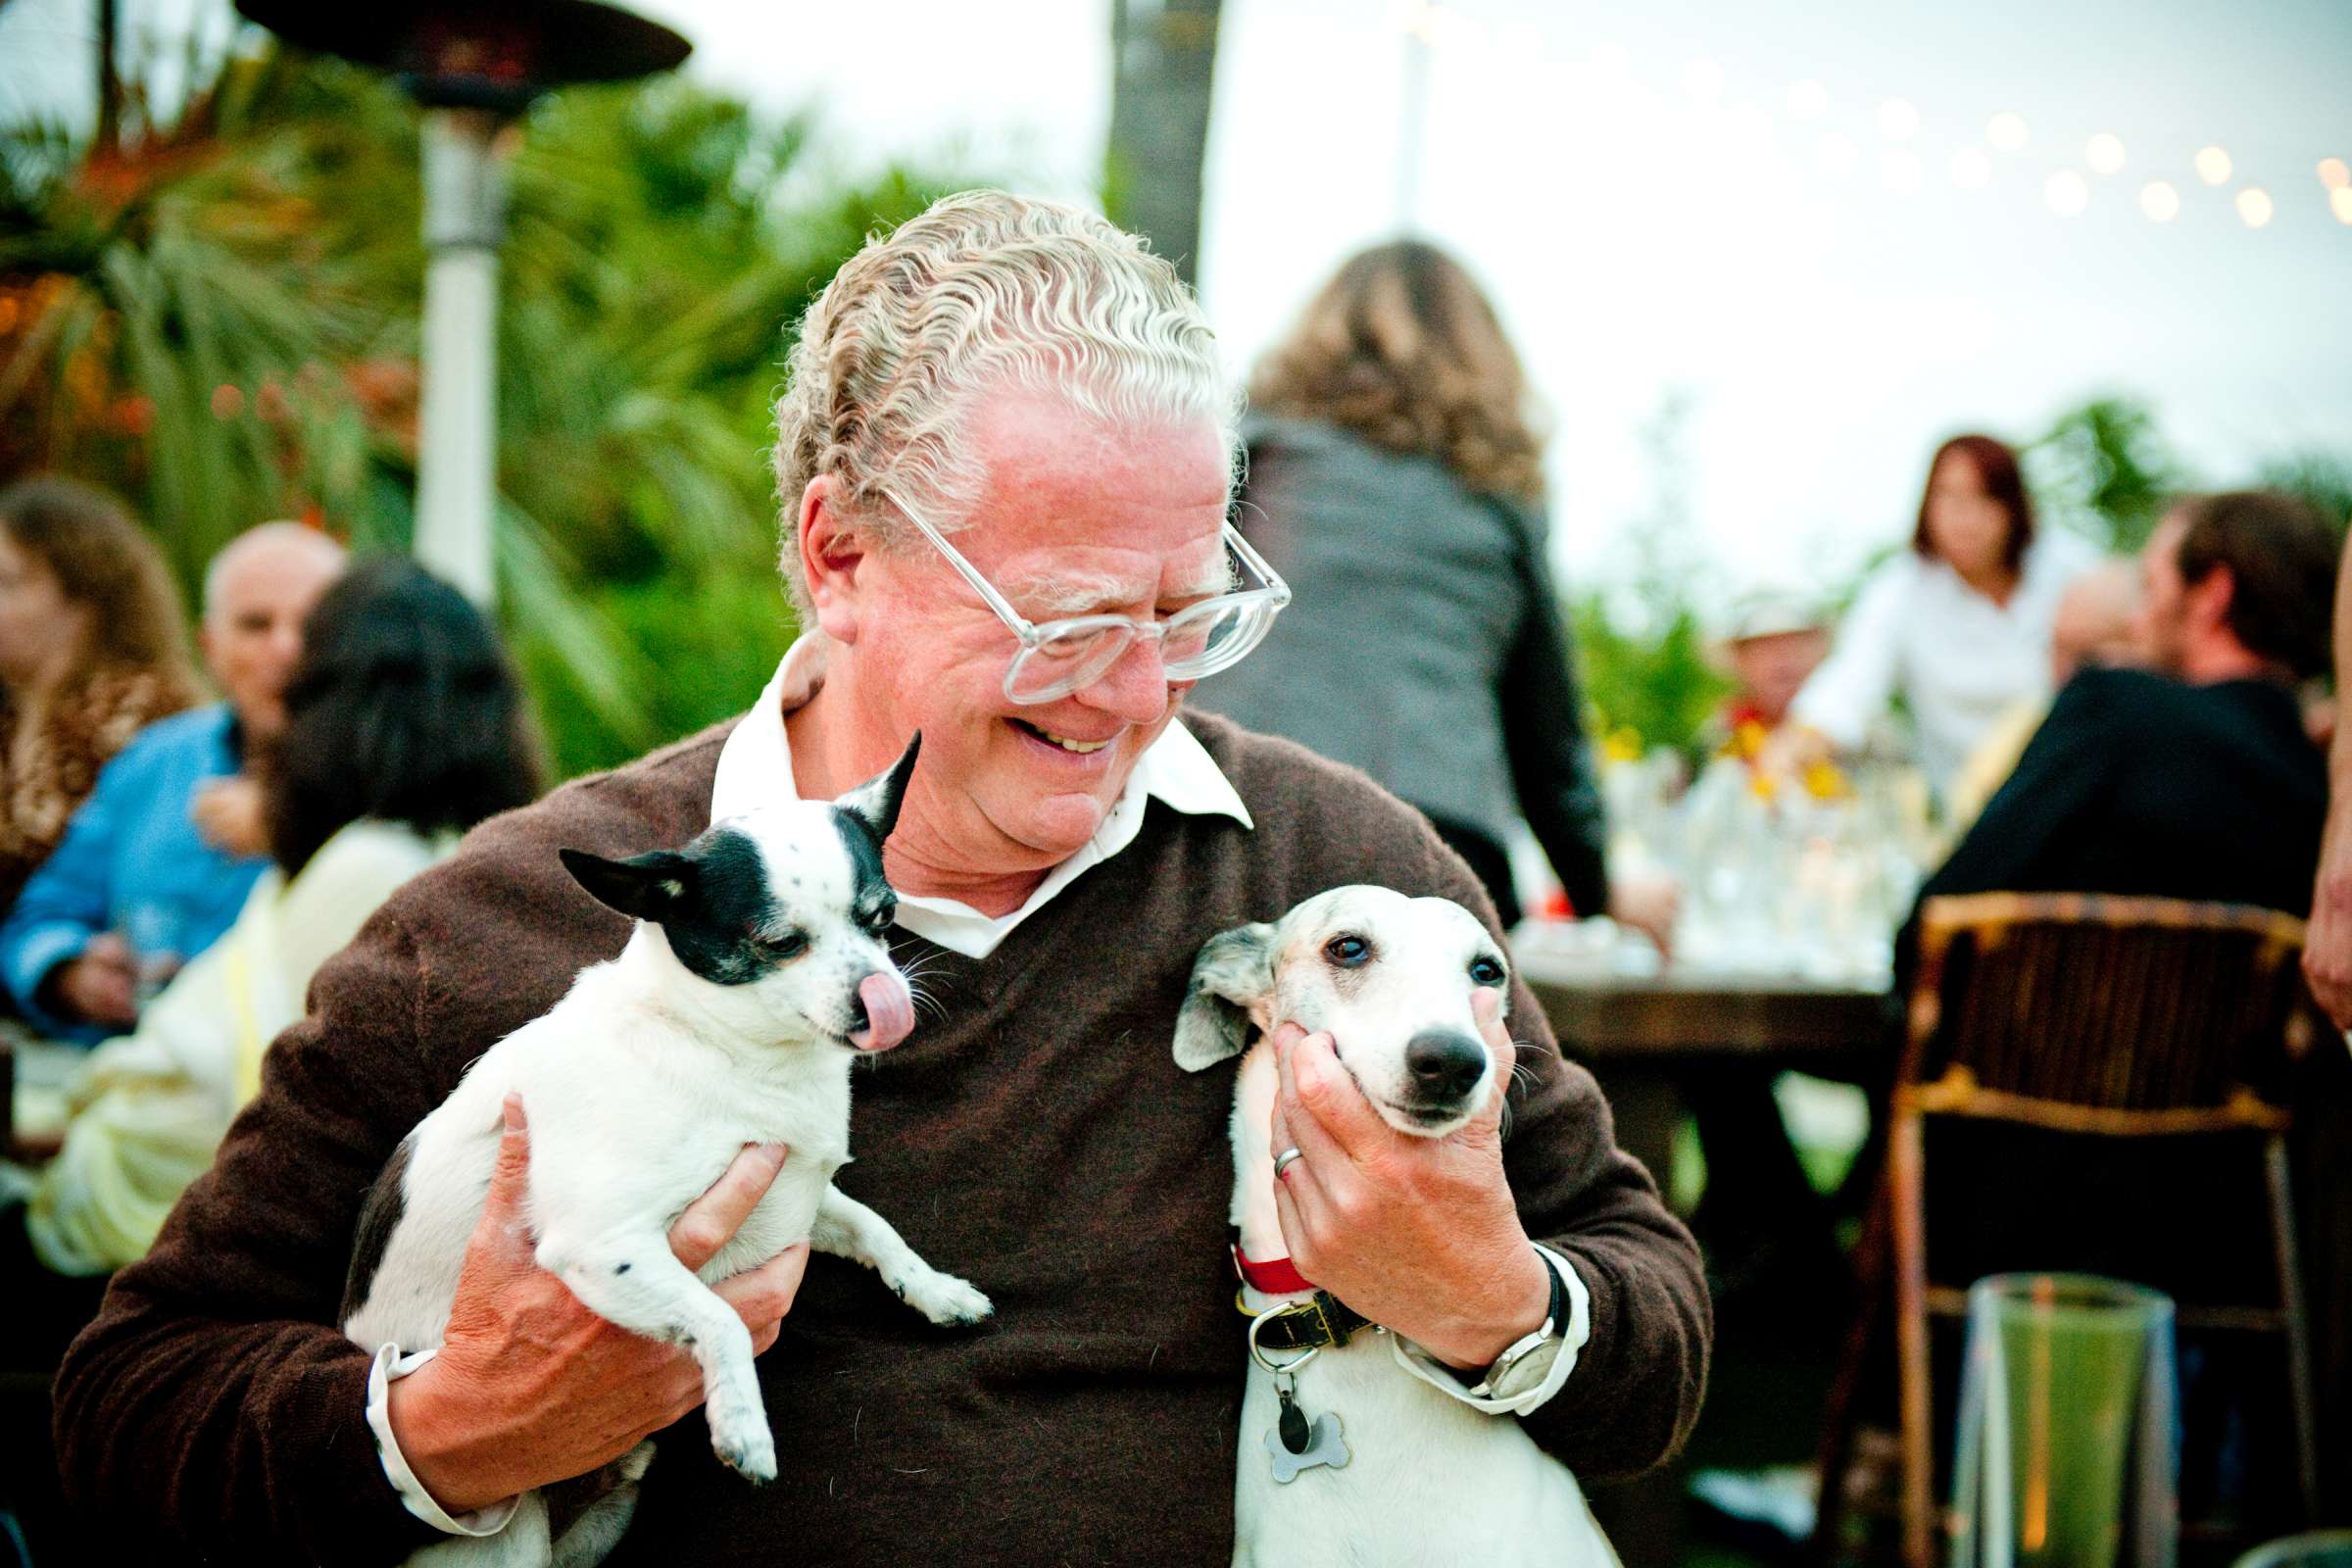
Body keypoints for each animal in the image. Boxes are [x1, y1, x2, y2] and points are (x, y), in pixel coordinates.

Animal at [341, 738, 983, 1568]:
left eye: (884, 918)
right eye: (780, 944)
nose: (882, 993)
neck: (731, 1052)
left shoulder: (800, 1192)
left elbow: (877, 1228)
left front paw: (934, 1290)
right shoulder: (604, 1247)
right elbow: (721, 1318)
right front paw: (743, 1424)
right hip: (504, 1541)